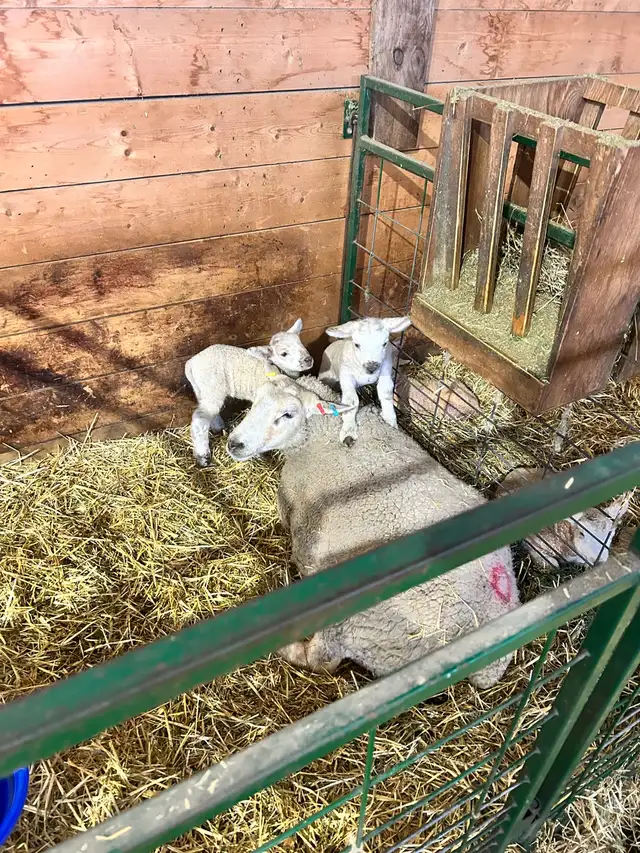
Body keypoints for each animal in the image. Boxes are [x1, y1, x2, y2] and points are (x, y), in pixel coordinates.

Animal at [184, 319, 314, 467]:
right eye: (284, 353)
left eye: (300, 343)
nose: (308, 360)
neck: (278, 369)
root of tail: (191, 362)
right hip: (212, 386)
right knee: (200, 420)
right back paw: (203, 457)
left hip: (203, 389)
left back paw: (218, 427)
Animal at [225, 375, 520, 689]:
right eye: (254, 402)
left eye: (287, 414)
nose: (235, 443)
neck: (320, 433)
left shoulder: (293, 502)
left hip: (357, 618)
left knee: (321, 660)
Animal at [319, 316, 411, 446]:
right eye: (357, 345)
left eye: (384, 343)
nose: (371, 367)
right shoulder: (346, 376)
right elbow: (351, 401)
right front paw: (348, 432)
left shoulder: (386, 369)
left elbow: (386, 392)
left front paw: (390, 421)